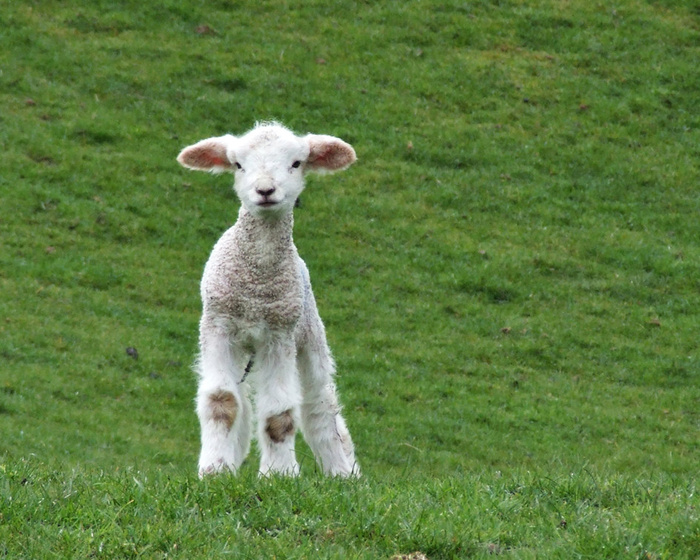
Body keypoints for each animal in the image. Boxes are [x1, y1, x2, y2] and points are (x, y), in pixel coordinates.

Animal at [175, 122, 360, 476]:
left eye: (297, 163)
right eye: (238, 165)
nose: (265, 190)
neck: (256, 286)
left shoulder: (278, 334)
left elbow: (280, 415)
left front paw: (278, 474)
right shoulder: (219, 326)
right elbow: (222, 402)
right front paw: (215, 470)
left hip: (309, 333)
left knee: (320, 404)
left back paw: (342, 474)